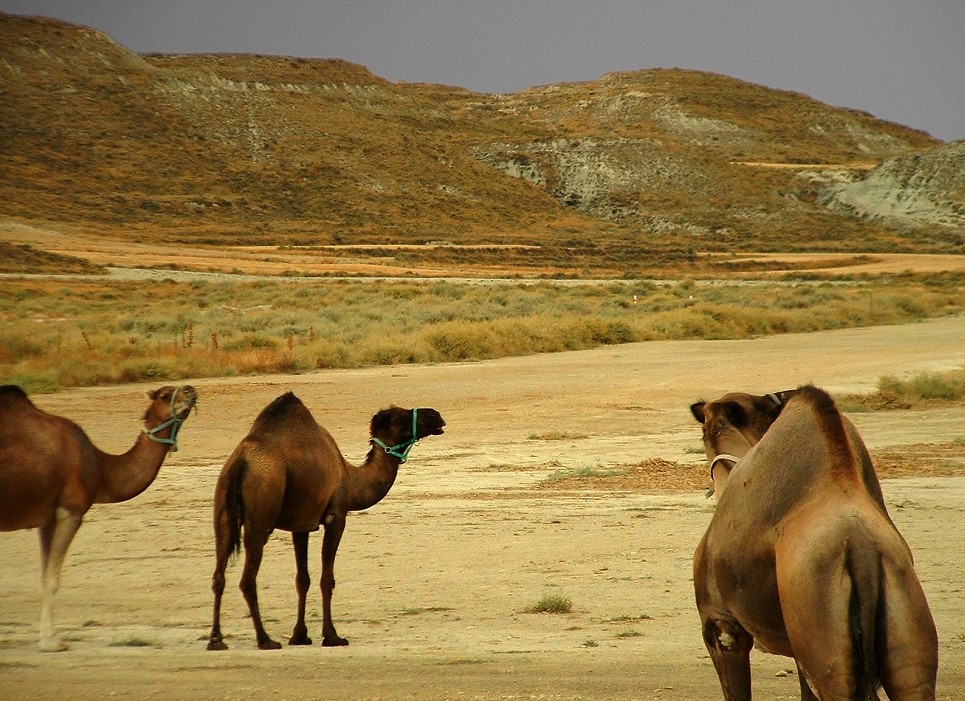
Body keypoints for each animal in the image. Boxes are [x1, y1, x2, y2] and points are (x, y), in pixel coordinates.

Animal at [0, 382, 198, 652]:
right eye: (165, 395)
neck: (100, 466)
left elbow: (44, 577)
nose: (190, 390)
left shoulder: (48, 517)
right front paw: (52, 642)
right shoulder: (71, 510)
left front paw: (47, 637)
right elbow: (53, 580)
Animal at [208, 394, 448, 652]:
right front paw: (332, 636)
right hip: (260, 514)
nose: (436, 415)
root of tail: (240, 463)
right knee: (247, 579)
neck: (351, 479)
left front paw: (300, 636)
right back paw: (265, 640)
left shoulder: (301, 524)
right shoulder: (336, 517)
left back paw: (216, 640)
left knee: (218, 575)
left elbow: (302, 579)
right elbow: (327, 578)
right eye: (401, 417)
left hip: (222, 510)